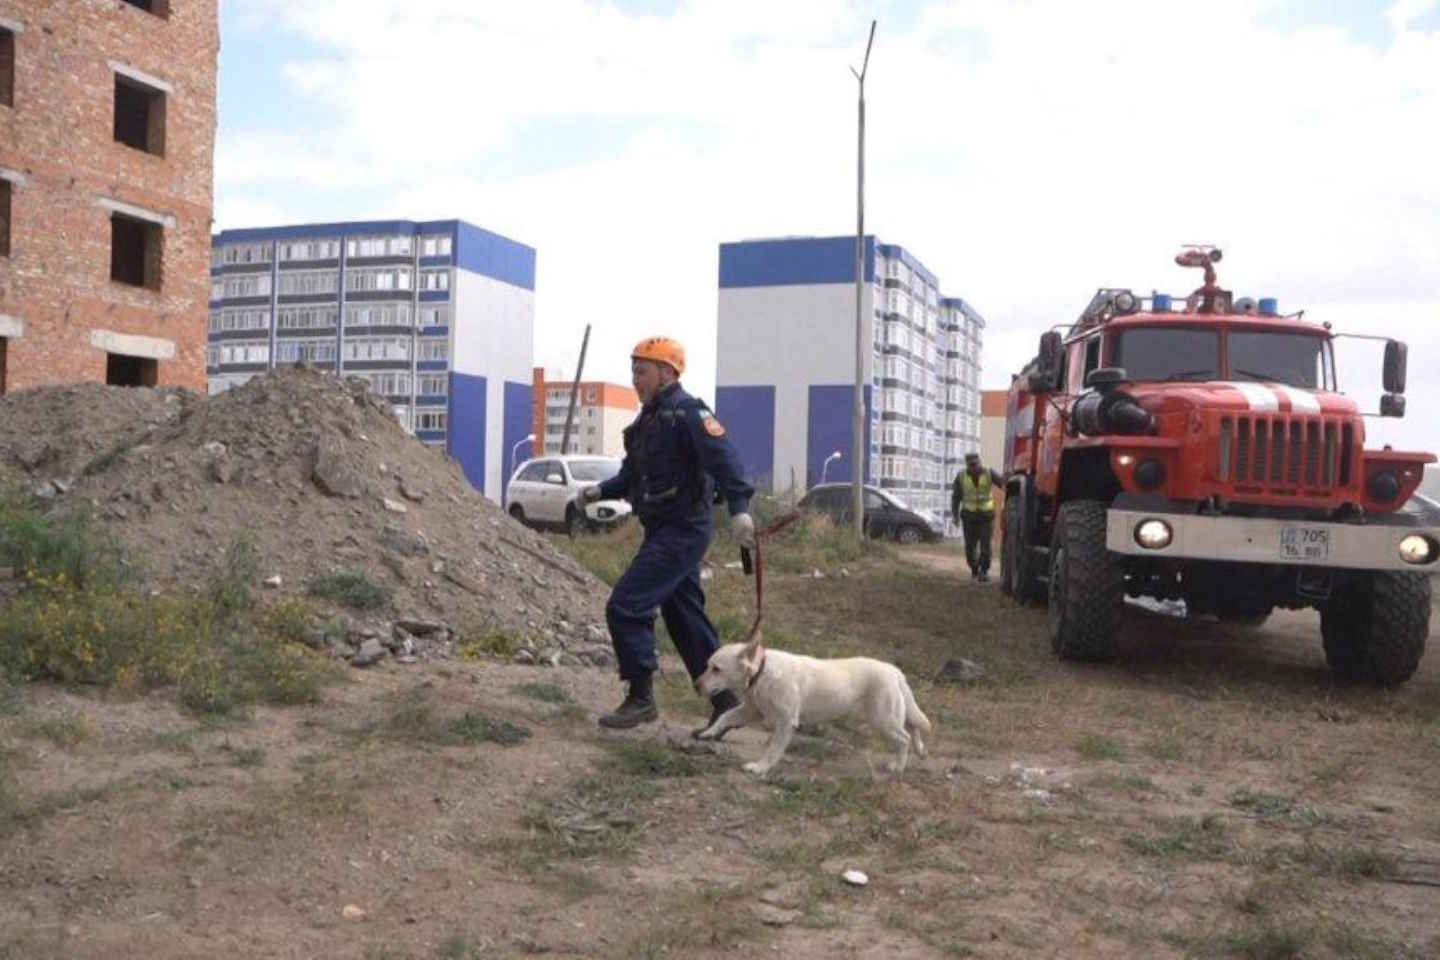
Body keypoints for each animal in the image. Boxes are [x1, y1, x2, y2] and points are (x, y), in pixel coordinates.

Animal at [694, 633, 933, 777]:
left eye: (716, 669)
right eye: (708, 665)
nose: (696, 685)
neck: (762, 673)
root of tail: (895, 670)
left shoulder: (786, 722)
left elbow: (772, 750)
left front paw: (760, 768)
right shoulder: (752, 711)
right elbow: (725, 716)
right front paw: (709, 732)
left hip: (883, 720)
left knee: (905, 738)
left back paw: (898, 766)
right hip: (892, 716)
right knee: (912, 728)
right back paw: (921, 751)